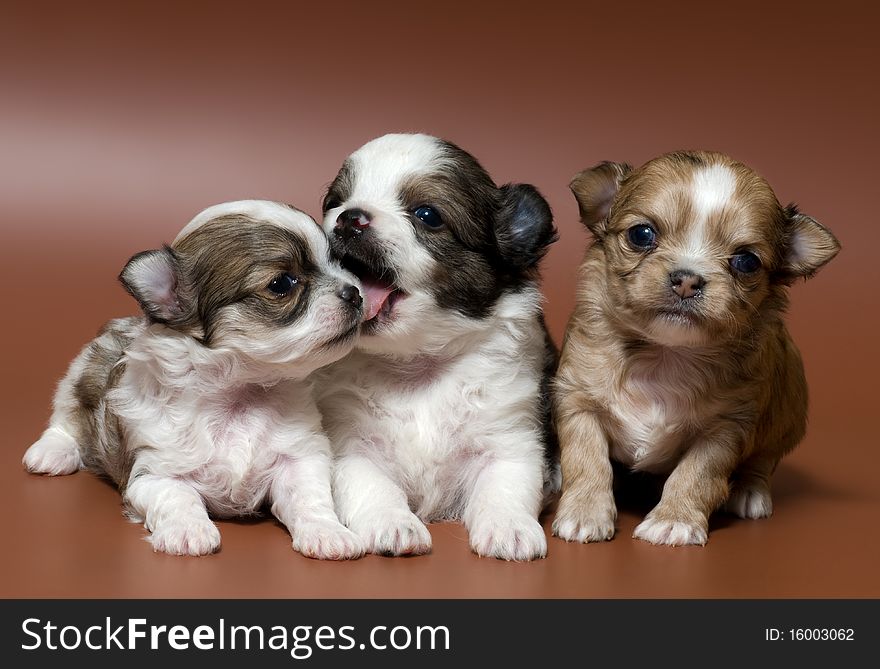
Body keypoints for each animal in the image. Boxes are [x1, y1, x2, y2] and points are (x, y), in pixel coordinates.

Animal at [22, 200, 364, 560]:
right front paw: (189, 531)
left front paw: (328, 533)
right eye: (282, 283)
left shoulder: (299, 458)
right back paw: (50, 453)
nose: (355, 293)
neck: (240, 394)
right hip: (81, 374)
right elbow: (178, 497)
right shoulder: (153, 472)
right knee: (65, 419)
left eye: (339, 263)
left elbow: (310, 498)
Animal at [314, 133, 556, 560]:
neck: (418, 364)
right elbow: (373, 485)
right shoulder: (351, 444)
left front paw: (509, 528)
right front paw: (394, 523)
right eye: (335, 202)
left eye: (427, 215)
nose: (349, 217)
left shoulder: (511, 438)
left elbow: (505, 485)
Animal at [552, 154, 844, 544]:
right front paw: (584, 512)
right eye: (641, 234)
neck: (664, 354)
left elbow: (696, 474)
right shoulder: (579, 400)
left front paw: (673, 520)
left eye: (746, 261)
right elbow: (587, 458)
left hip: (786, 412)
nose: (687, 280)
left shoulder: (725, 428)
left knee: (762, 461)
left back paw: (749, 492)